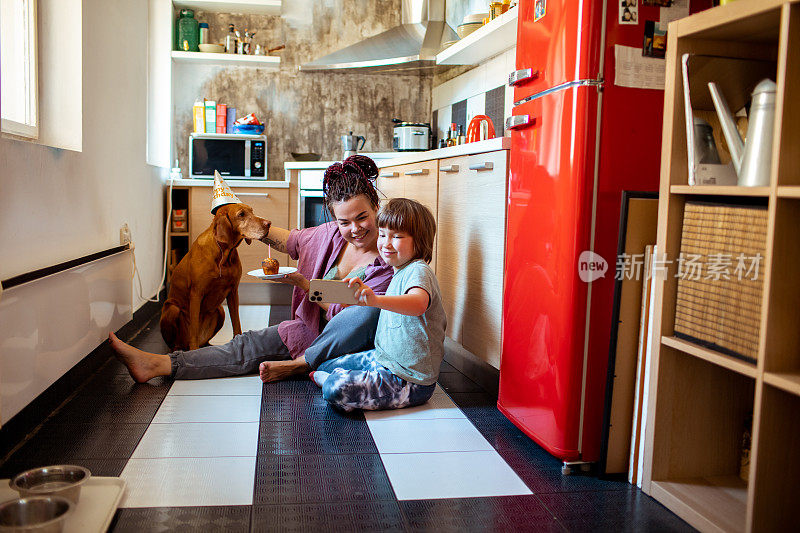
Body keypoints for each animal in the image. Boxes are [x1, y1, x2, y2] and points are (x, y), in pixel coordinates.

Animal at [160, 203, 272, 350]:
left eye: (252, 211)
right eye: (241, 214)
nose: (269, 223)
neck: (223, 255)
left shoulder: (233, 291)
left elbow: (236, 322)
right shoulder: (196, 293)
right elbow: (194, 329)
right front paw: (194, 351)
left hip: (220, 310)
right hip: (172, 308)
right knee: (177, 343)